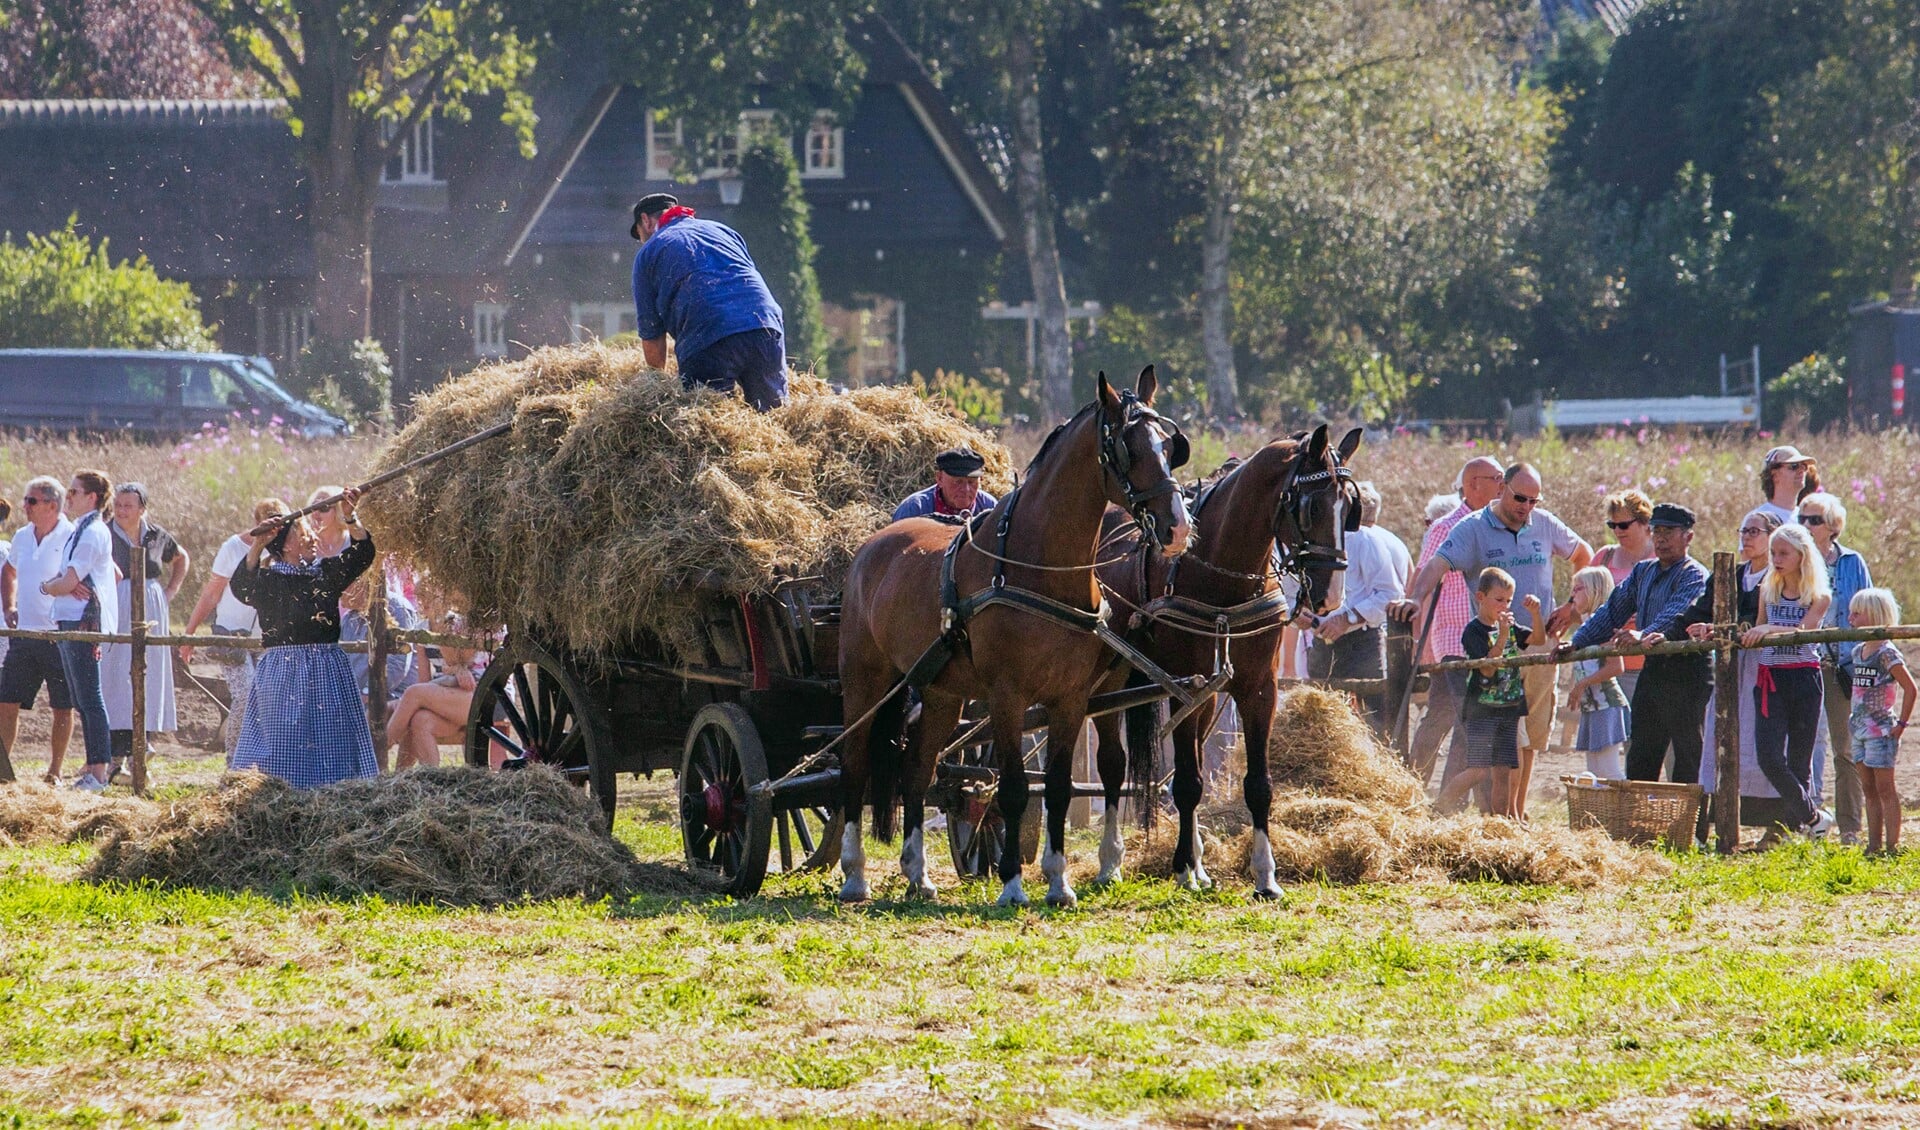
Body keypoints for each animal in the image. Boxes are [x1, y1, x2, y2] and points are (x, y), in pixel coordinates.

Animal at [837, 370, 1182, 909]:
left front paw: (1059, 882)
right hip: (865, 683)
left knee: (917, 769)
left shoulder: (1070, 699)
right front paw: (1013, 884)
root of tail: (872, 548)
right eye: (1129, 449)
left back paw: (918, 875)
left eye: (1168, 445)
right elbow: (1015, 787)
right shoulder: (1007, 696)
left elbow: (1058, 787)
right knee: (855, 764)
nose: (1177, 527)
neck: (1038, 568)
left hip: (941, 694)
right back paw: (854, 875)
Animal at [1090, 425, 1359, 897]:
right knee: (1112, 766)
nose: (1330, 596)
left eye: (1349, 508)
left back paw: (1199, 863)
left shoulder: (1257, 689)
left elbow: (1257, 785)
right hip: (1112, 684)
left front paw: (1265, 876)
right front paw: (1181, 867)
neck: (1221, 576)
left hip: (1209, 698)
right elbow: (1187, 782)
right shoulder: (1183, 686)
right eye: (1311, 506)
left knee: (1194, 753)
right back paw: (1111, 862)